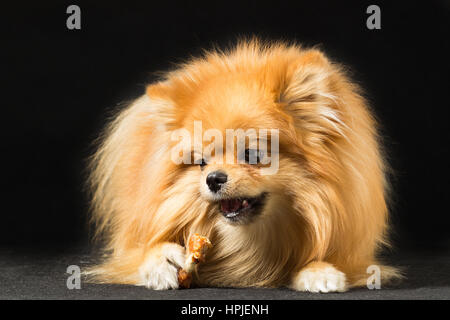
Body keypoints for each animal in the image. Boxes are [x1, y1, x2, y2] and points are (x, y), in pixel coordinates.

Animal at [86, 38, 400, 292]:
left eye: (251, 155)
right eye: (201, 163)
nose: (213, 178)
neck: (251, 240)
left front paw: (318, 270)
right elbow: (143, 251)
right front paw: (161, 261)